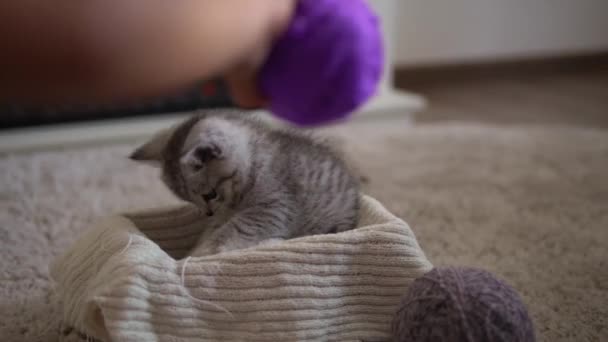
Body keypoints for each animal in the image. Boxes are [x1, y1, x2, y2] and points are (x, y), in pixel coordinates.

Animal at [131, 111, 358, 255]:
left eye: (210, 194)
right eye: (193, 201)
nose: (208, 213)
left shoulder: (273, 207)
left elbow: (234, 231)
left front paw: (201, 253)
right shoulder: (226, 214)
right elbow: (213, 230)